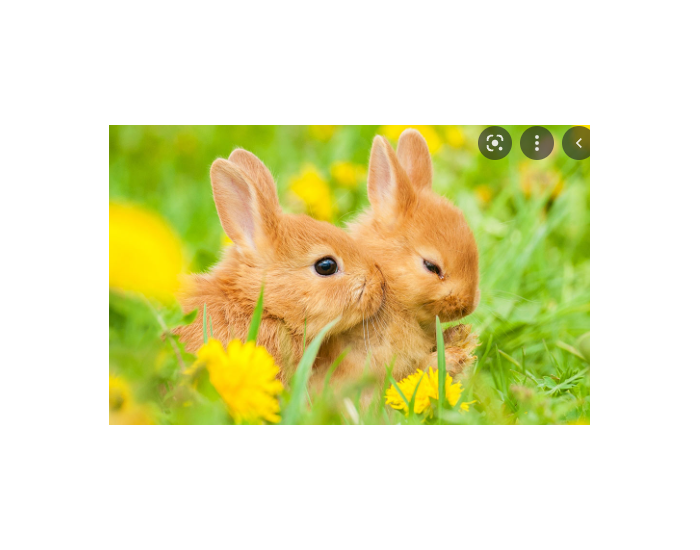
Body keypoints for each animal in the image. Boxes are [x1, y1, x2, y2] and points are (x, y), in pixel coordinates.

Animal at [311, 129, 479, 390]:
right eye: (431, 266)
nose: (467, 306)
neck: (385, 280)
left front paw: (460, 335)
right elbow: (418, 369)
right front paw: (455, 355)